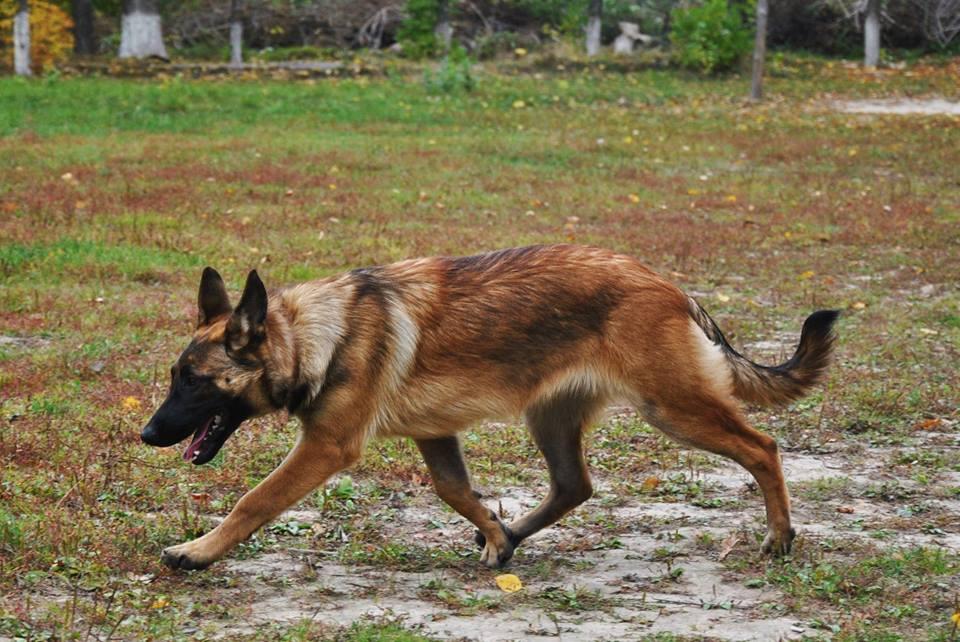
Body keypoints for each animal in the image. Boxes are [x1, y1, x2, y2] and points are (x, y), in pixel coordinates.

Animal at [142, 242, 840, 568]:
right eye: (175, 377)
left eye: (194, 382)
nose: (147, 435)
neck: (317, 335)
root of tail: (668, 286)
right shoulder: (434, 434)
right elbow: (453, 490)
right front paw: (496, 533)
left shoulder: (325, 447)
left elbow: (253, 501)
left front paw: (197, 552)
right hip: (551, 418)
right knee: (574, 487)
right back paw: (514, 535)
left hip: (674, 410)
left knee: (763, 447)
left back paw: (780, 537)